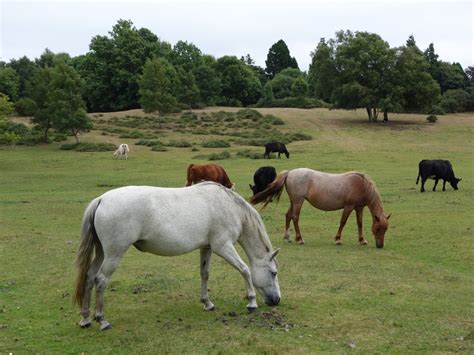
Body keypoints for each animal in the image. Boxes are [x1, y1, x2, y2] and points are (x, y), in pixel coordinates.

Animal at [74, 184, 282, 330]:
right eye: (274, 273)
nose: (276, 300)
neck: (229, 207)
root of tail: (101, 199)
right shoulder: (223, 247)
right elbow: (245, 270)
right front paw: (252, 302)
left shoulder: (206, 248)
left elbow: (205, 274)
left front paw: (207, 303)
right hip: (114, 253)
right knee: (101, 280)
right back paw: (102, 320)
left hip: (102, 252)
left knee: (89, 276)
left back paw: (85, 318)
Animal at [250, 168, 390, 249]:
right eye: (378, 228)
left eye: (385, 229)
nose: (380, 246)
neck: (360, 184)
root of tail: (290, 172)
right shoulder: (348, 207)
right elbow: (343, 222)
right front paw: (338, 239)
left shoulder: (359, 208)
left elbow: (359, 223)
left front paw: (362, 240)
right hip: (298, 201)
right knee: (295, 217)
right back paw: (299, 239)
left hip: (294, 201)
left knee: (288, 215)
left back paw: (288, 237)